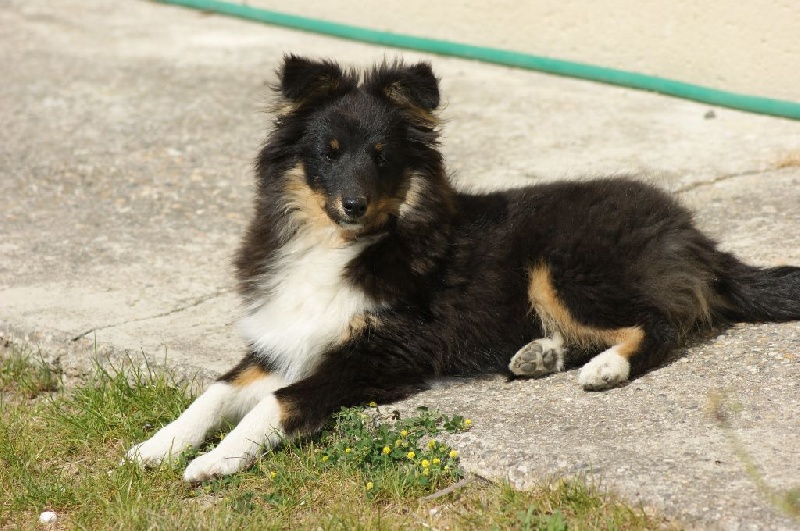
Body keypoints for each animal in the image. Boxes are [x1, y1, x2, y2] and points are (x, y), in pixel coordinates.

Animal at [126, 57, 800, 482]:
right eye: (329, 153)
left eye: (382, 157)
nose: (354, 204)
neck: (340, 245)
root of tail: (690, 231)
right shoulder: (283, 342)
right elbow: (213, 393)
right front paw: (154, 447)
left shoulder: (374, 354)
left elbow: (277, 403)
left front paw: (214, 462)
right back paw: (540, 355)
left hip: (564, 266)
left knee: (660, 323)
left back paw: (605, 369)